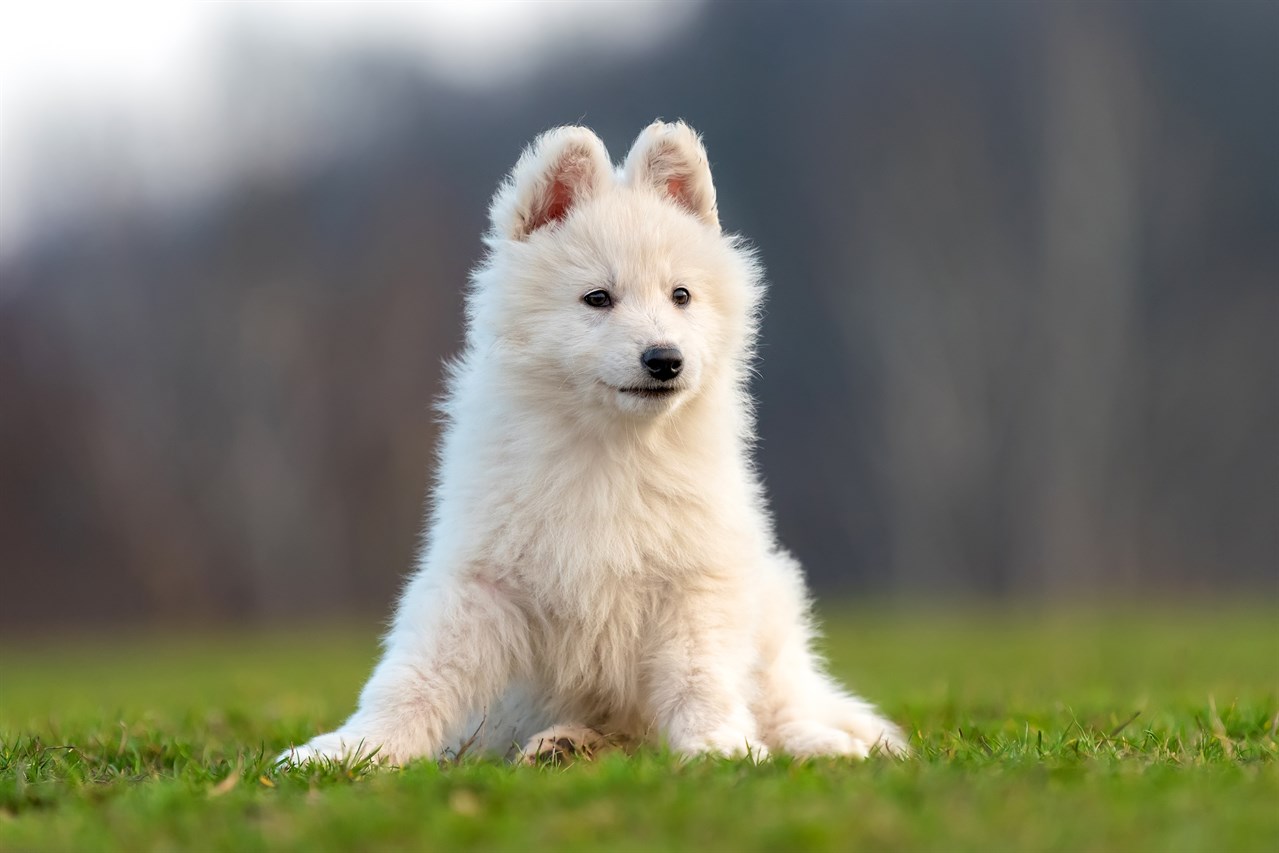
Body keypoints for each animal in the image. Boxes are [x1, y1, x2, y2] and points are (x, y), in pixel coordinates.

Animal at [282, 120, 910, 767]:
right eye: (598, 298)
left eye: (681, 295)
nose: (665, 359)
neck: (613, 448)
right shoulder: (483, 579)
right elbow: (415, 676)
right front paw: (352, 748)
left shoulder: (696, 581)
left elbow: (699, 677)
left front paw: (718, 748)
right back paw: (566, 744)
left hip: (771, 617)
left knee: (786, 706)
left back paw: (828, 745)